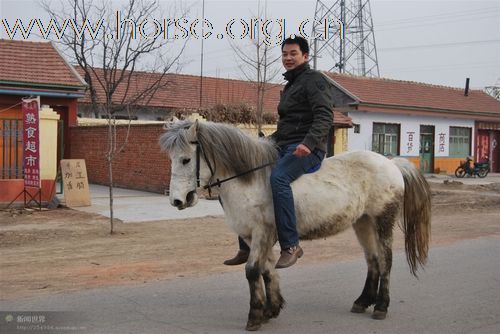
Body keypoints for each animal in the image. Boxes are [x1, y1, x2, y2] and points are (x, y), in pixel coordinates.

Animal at [159, 120, 430, 332]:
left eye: (186, 160)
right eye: (171, 159)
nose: (177, 201)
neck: (249, 179)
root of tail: (392, 163)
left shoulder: (261, 233)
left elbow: (252, 271)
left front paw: (255, 316)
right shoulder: (254, 236)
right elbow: (267, 269)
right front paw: (272, 308)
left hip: (383, 219)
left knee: (385, 260)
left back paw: (381, 307)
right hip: (363, 222)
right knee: (372, 260)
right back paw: (362, 302)